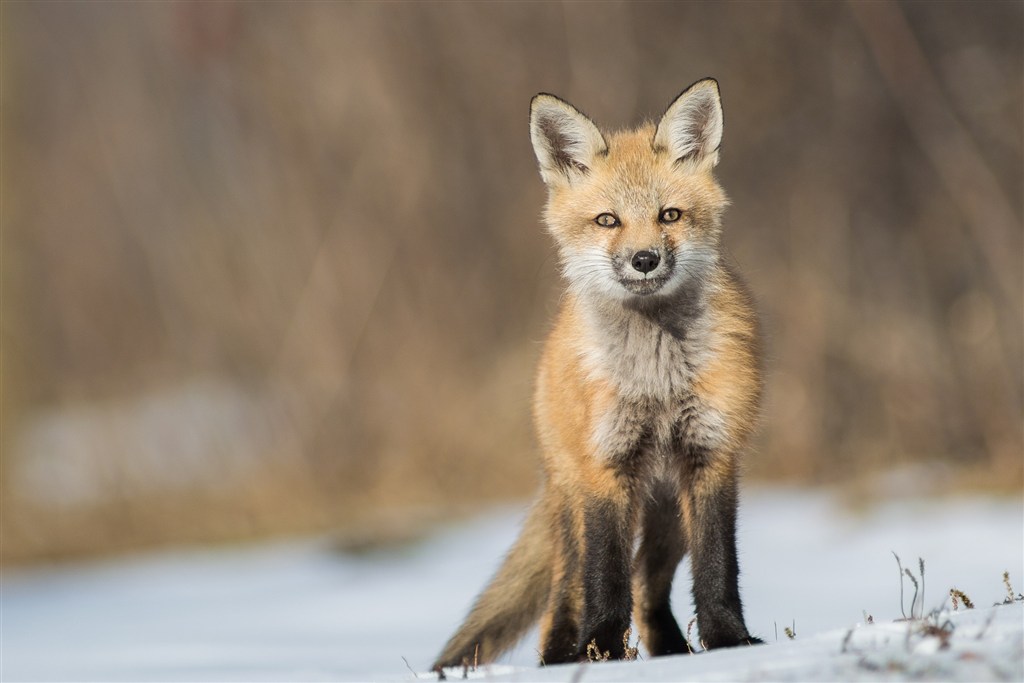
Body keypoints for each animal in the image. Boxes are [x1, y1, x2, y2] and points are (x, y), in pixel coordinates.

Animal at [432, 80, 761, 671]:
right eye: (608, 220)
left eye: (669, 215)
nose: (645, 259)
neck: (656, 381)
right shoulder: (605, 470)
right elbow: (604, 578)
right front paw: (601, 651)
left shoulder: (711, 458)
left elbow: (718, 568)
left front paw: (729, 642)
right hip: (574, 499)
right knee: (567, 593)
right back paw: (562, 655)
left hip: (666, 511)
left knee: (648, 585)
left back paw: (670, 651)